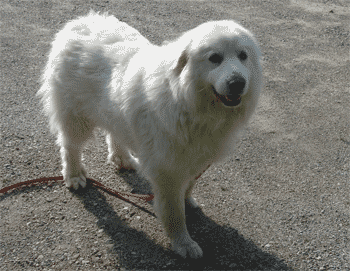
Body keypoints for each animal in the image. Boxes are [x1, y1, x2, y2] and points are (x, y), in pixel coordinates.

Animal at [38, 12, 262, 260]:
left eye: (243, 56)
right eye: (215, 58)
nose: (237, 83)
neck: (185, 99)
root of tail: (79, 22)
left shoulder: (195, 160)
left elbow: (189, 186)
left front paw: (188, 200)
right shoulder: (168, 171)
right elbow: (174, 212)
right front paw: (183, 243)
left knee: (114, 132)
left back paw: (122, 159)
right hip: (76, 117)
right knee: (70, 146)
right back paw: (75, 175)